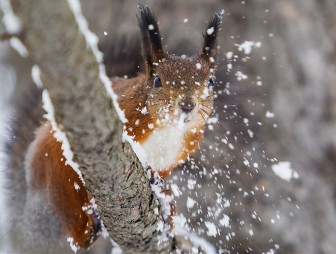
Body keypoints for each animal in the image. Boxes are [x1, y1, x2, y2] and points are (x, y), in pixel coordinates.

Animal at [3, 3, 222, 252]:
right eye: (157, 80)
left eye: (211, 82)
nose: (187, 105)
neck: (169, 127)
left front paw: (161, 191)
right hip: (56, 179)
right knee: (74, 229)